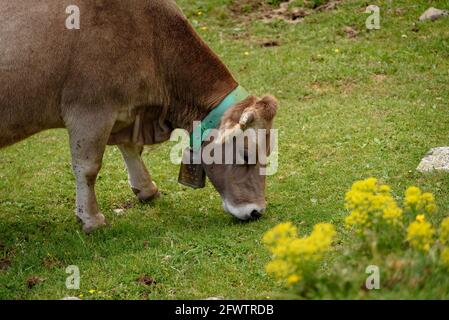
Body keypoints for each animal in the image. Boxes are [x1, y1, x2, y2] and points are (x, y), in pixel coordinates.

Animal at [0, 0, 276, 231]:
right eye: (246, 154)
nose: (257, 211)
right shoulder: (89, 110)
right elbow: (88, 167)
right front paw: (91, 219)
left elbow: (131, 147)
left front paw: (146, 188)